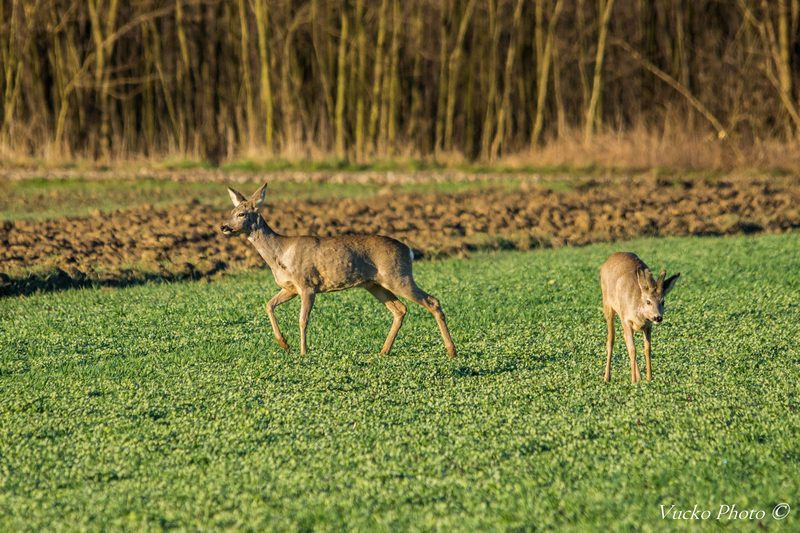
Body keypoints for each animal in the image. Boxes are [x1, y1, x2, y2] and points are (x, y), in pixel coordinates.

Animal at [219, 182, 456, 358]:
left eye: (242, 214)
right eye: (231, 211)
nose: (223, 226)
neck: (280, 255)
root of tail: (409, 251)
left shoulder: (307, 284)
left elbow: (303, 320)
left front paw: (303, 352)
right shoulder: (290, 288)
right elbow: (268, 305)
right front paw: (284, 344)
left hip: (399, 276)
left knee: (432, 301)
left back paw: (451, 351)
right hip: (375, 284)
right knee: (400, 309)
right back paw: (383, 351)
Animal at [600, 252, 680, 382]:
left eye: (663, 301)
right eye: (648, 301)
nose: (658, 317)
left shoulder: (648, 326)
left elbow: (647, 349)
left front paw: (649, 378)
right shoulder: (626, 320)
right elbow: (633, 349)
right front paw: (633, 381)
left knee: (625, 340)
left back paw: (639, 376)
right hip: (607, 305)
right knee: (611, 339)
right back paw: (607, 377)